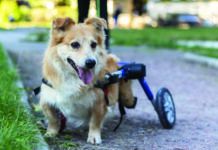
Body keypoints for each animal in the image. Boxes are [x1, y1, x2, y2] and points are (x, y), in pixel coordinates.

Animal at [39, 16, 135, 144]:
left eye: (93, 44)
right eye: (75, 44)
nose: (91, 62)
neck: (74, 79)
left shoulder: (99, 102)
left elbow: (95, 122)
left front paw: (94, 136)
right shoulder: (47, 100)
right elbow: (52, 119)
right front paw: (51, 133)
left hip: (126, 97)